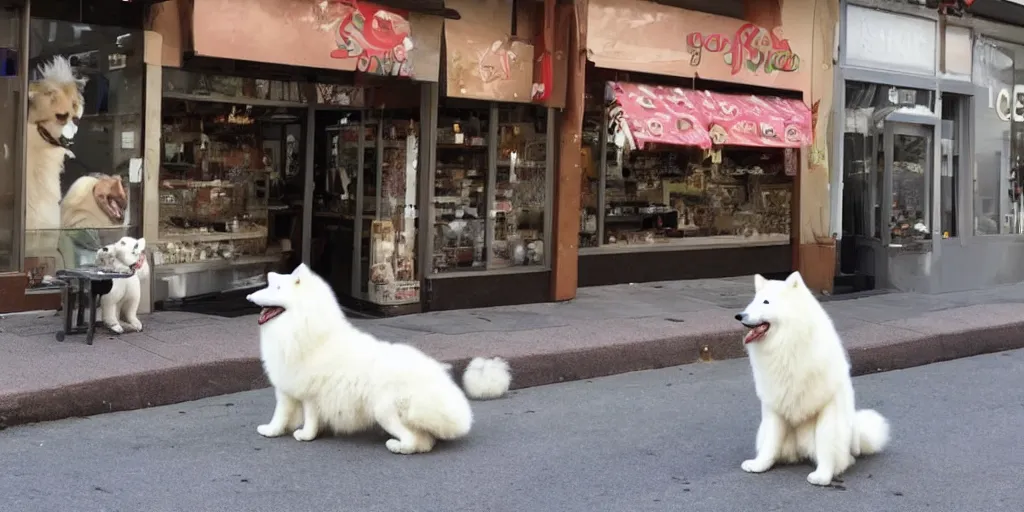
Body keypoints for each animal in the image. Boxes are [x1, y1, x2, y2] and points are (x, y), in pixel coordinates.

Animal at [244, 262, 516, 454]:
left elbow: (305, 418)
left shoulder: (308, 394)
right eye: (269, 286)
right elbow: (281, 415)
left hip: (384, 410)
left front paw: (301, 435)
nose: (248, 298)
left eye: (277, 289)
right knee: (425, 441)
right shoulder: (287, 390)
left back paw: (397, 446)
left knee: (415, 441)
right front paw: (274, 431)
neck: (303, 329)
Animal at [737, 270, 888, 485]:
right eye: (753, 301)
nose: (739, 316)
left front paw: (823, 476)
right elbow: (770, 443)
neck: (787, 344)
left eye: (766, 302)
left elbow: (826, 444)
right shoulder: (774, 406)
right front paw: (760, 465)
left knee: (845, 455)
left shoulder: (828, 407)